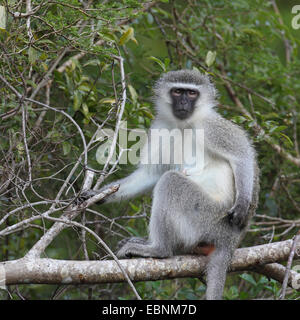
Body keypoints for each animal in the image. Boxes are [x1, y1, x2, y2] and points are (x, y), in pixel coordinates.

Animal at [81, 69, 258, 300]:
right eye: (177, 91)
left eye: (191, 93)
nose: (183, 102)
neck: (184, 125)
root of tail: (231, 239)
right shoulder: (161, 128)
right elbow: (150, 173)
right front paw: (99, 194)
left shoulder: (211, 126)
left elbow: (242, 155)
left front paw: (242, 204)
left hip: (208, 218)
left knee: (170, 181)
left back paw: (158, 249)